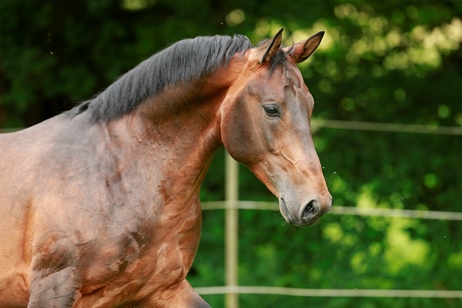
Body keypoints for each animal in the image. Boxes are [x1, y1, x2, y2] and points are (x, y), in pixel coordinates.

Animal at [0, 28, 332, 306]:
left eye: (311, 106)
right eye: (271, 109)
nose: (316, 203)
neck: (117, 174)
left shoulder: (164, 288)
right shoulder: (54, 290)